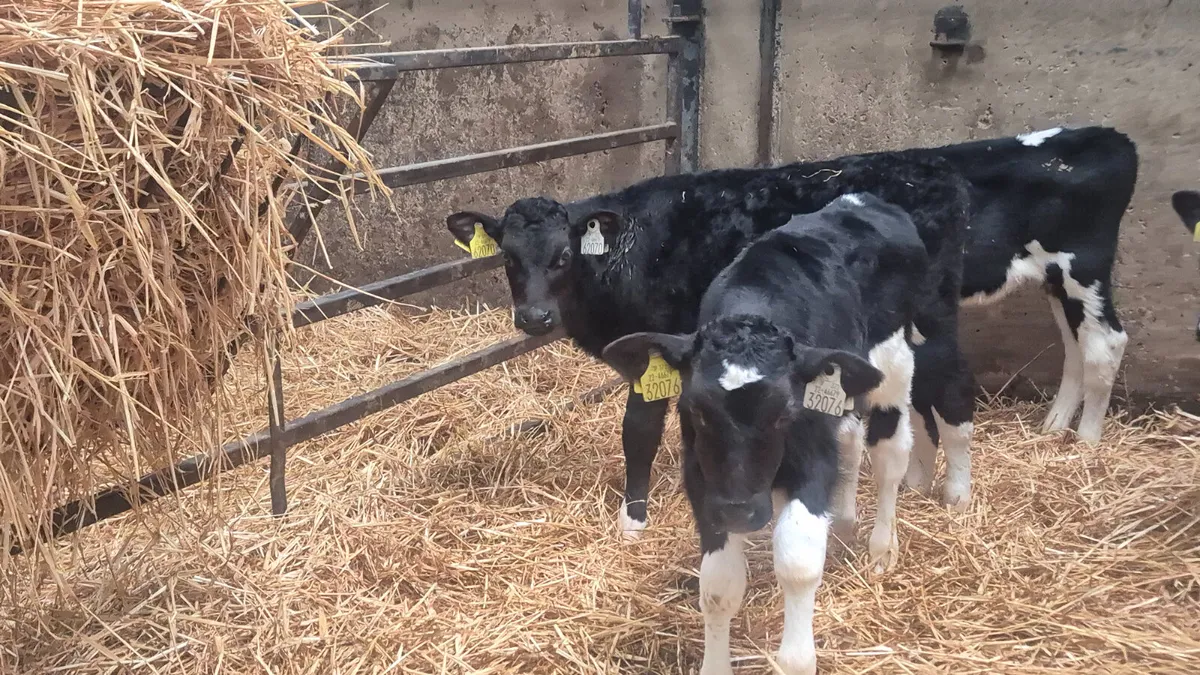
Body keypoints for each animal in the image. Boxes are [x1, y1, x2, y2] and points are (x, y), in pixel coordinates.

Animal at [447, 126, 1136, 540]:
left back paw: (981, 485)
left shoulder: (652, 352)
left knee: (981, 380)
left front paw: (632, 519)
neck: (627, 249)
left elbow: (638, 434)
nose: (533, 318)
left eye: (563, 255)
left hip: (982, 300)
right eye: (507, 258)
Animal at [602, 191, 962, 675]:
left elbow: (797, 561)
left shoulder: (810, 459)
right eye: (695, 411)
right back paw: (843, 523)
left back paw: (882, 548)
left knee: (889, 454)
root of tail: (863, 199)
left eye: (784, 413)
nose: (738, 512)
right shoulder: (704, 480)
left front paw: (797, 655)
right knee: (849, 439)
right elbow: (718, 585)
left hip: (893, 360)